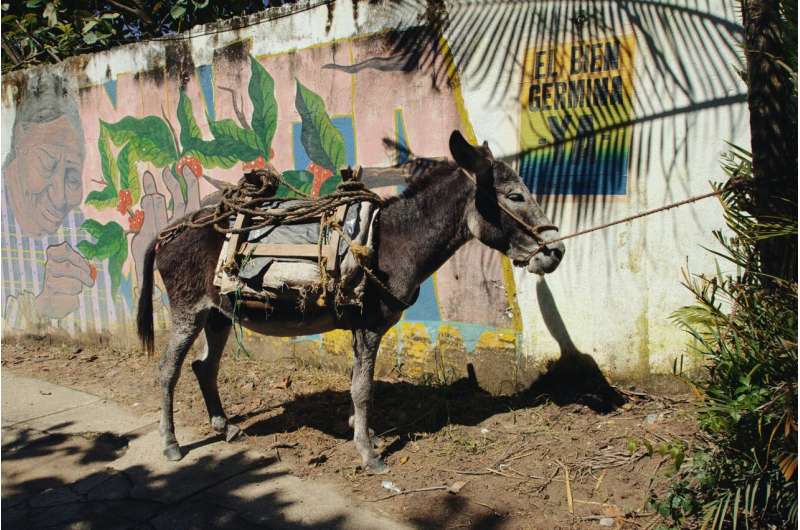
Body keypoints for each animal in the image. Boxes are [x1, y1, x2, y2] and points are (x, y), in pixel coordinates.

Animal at [136, 130, 566, 473]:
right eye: (515, 195)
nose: (557, 252)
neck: (389, 242)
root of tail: (169, 229)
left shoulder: (361, 328)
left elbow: (358, 383)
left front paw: (365, 434)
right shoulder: (370, 327)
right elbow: (363, 389)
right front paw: (369, 454)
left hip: (219, 314)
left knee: (204, 367)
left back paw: (226, 428)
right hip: (188, 311)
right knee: (168, 370)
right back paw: (171, 444)